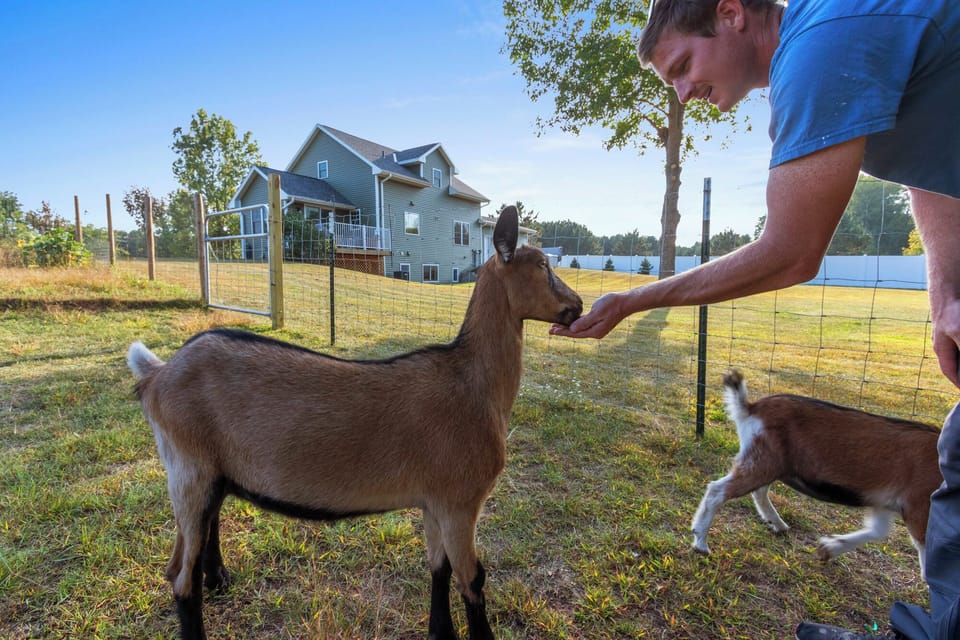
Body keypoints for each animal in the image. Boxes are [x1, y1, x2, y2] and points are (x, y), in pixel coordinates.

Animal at [126, 206, 582, 640]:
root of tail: (157, 376)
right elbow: (473, 580)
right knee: (179, 576)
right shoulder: (460, 501)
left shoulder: (435, 501)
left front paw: (439, 632)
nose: (578, 305)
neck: (472, 384)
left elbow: (439, 568)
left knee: (199, 536)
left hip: (209, 472)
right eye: (543, 265)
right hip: (189, 469)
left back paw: (219, 577)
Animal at [691, 369, 942, 577]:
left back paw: (778, 524)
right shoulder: (920, 507)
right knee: (718, 490)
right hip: (763, 462)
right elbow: (928, 559)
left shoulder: (884, 502)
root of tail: (751, 408)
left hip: (768, 463)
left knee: (757, 493)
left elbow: (878, 530)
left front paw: (828, 548)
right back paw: (701, 543)